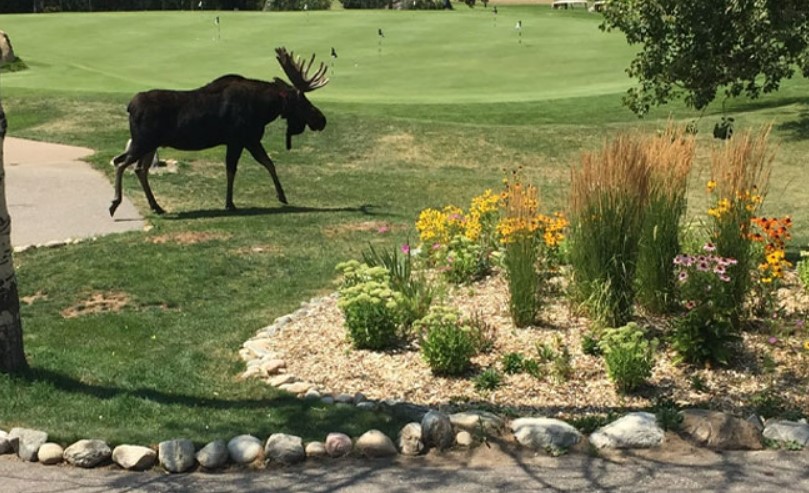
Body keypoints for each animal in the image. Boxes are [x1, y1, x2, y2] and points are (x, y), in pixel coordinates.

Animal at [108, 47, 329, 217]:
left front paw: (281, 196)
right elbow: (234, 169)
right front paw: (230, 203)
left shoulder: (249, 139)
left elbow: (268, 163)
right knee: (120, 163)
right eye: (302, 101)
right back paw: (115, 203)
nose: (321, 120)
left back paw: (156, 206)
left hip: (151, 145)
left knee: (139, 169)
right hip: (142, 142)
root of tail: (130, 107)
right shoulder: (239, 139)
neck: (264, 110)